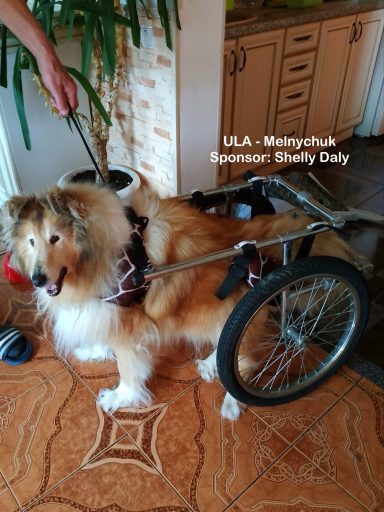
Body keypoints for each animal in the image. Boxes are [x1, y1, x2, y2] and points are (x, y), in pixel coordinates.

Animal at [3, 184, 362, 420]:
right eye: (32, 241)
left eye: (55, 238)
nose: (37, 279)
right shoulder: (109, 312)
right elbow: (105, 339)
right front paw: (94, 351)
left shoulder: (130, 327)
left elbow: (128, 370)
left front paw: (119, 398)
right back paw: (210, 364)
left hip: (238, 314)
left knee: (246, 360)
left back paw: (232, 402)